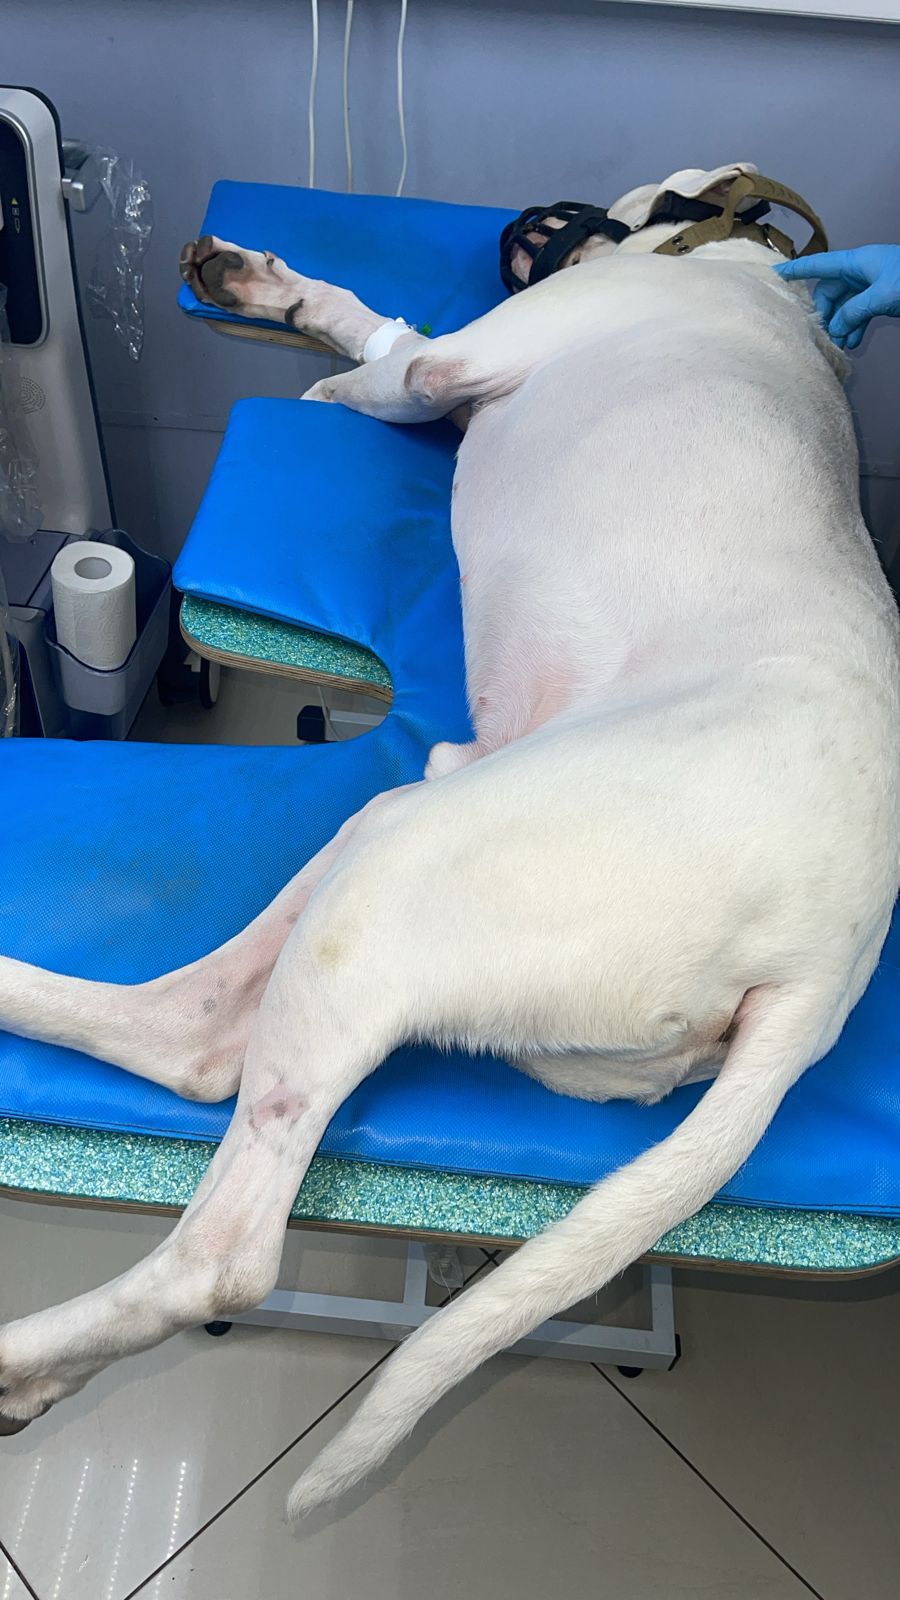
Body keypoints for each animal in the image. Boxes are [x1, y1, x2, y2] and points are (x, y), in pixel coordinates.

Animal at [1, 164, 897, 1522]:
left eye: (623, 198)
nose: (528, 219)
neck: (743, 277)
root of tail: (818, 967)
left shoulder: (450, 364)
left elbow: (389, 345)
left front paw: (305, 338)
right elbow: (365, 333)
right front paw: (268, 295)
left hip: (399, 866)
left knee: (213, 1171)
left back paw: (25, 1351)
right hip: (433, 841)